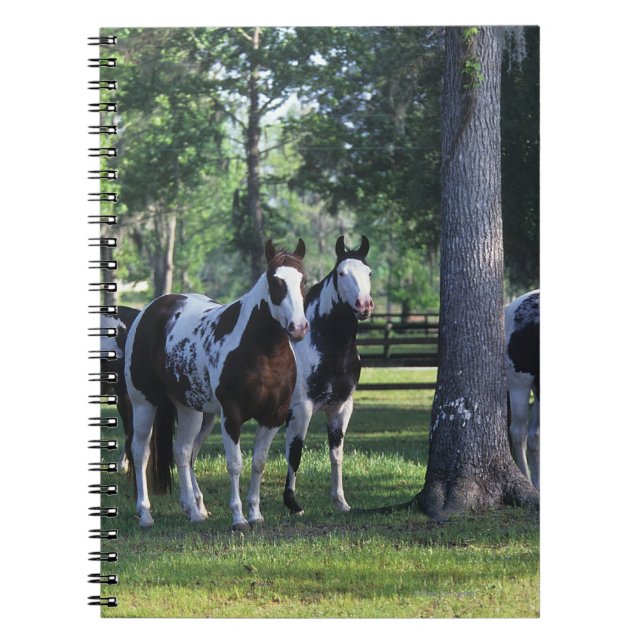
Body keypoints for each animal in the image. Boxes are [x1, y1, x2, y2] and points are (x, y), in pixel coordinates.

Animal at [124, 240, 309, 529]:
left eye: (304, 280)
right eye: (275, 281)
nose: (298, 328)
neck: (263, 352)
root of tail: (151, 311)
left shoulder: (272, 418)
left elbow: (259, 463)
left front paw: (255, 514)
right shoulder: (231, 416)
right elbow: (235, 465)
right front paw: (239, 518)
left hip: (192, 410)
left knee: (183, 452)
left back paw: (194, 512)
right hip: (144, 403)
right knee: (141, 452)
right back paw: (145, 514)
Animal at [283, 235, 373, 515]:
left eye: (369, 272)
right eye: (341, 273)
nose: (364, 306)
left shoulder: (341, 408)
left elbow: (336, 454)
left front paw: (340, 501)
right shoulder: (302, 408)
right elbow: (295, 453)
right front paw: (292, 503)